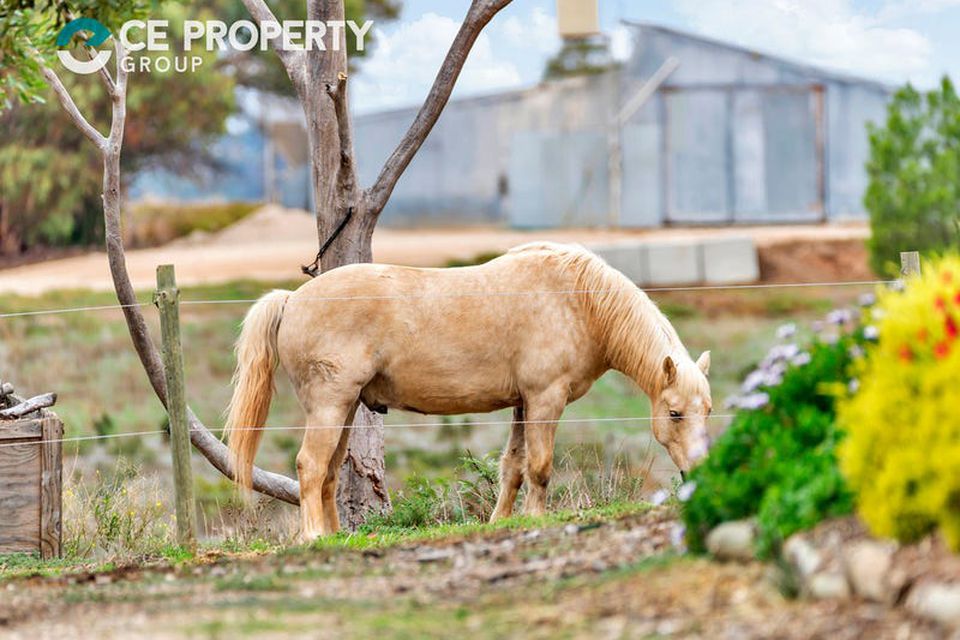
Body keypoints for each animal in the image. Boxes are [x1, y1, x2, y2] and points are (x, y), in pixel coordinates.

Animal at [223, 242, 704, 536]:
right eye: (675, 413)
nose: (695, 472)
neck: (577, 300)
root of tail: (291, 299)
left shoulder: (523, 404)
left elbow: (513, 468)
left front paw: (500, 521)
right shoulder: (545, 399)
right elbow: (540, 467)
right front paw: (534, 519)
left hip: (343, 410)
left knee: (327, 474)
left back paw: (335, 536)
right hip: (329, 405)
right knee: (309, 465)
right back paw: (312, 537)